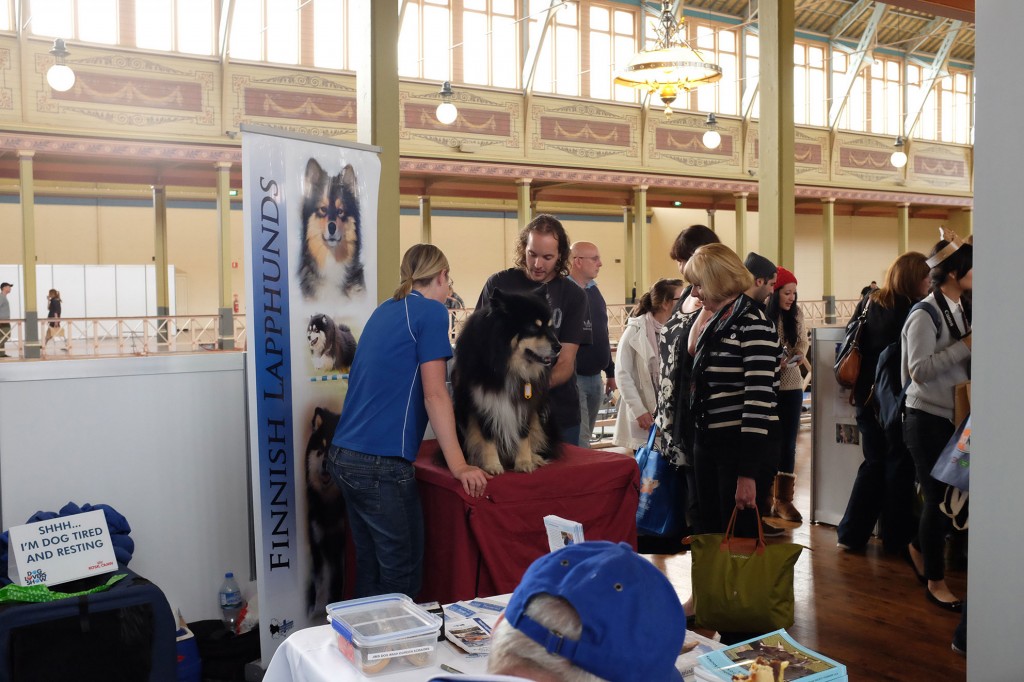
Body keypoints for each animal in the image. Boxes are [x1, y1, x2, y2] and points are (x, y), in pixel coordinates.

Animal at [452, 286, 561, 473]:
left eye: (550, 327)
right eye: (533, 327)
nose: (559, 347)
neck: (506, 364)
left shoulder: (526, 404)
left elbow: (524, 434)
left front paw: (524, 462)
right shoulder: (483, 402)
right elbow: (487, 437)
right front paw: (492, 465)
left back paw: (535, 457)